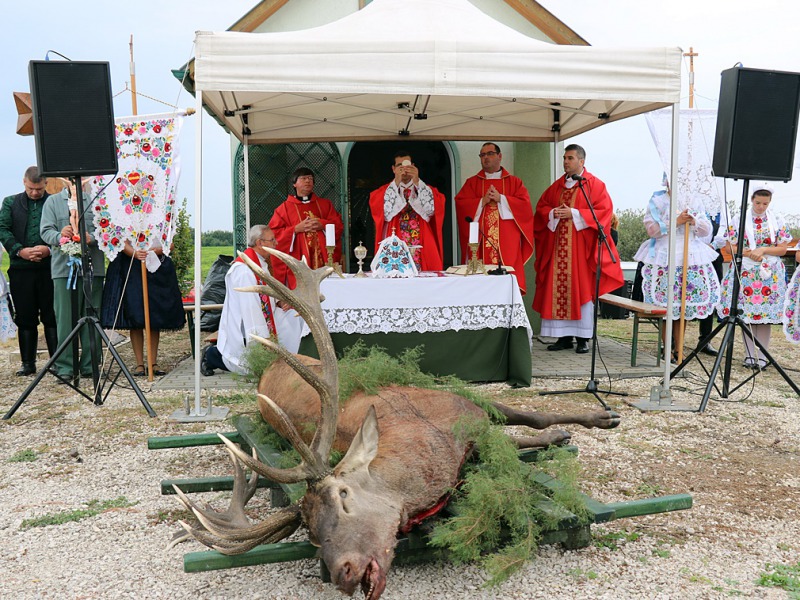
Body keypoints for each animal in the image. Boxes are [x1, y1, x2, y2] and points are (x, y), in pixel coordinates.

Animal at [177, 246, 620, 596]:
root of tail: (266, 368)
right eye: (312, 536)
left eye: (344, 497)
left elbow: (531, 415)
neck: (434, 444)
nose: (343, 573)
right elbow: (519, 437)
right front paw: (563, 433)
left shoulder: (466, 408)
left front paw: (598, 418)